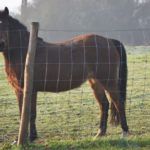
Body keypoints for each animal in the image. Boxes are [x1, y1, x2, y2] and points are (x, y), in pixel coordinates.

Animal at [0, 6, 128, 141]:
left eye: (5, 24)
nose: (1, 44)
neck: (26, 52)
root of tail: (109, 41)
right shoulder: (19, 90)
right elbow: (22, 114)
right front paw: (20, 139)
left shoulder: (31, 90)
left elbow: (31, 114)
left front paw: (31, 137)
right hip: (96, 82)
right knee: (104, 104)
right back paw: (100, 133)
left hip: (109, 81)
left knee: (119, 102)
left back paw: (124, 132)